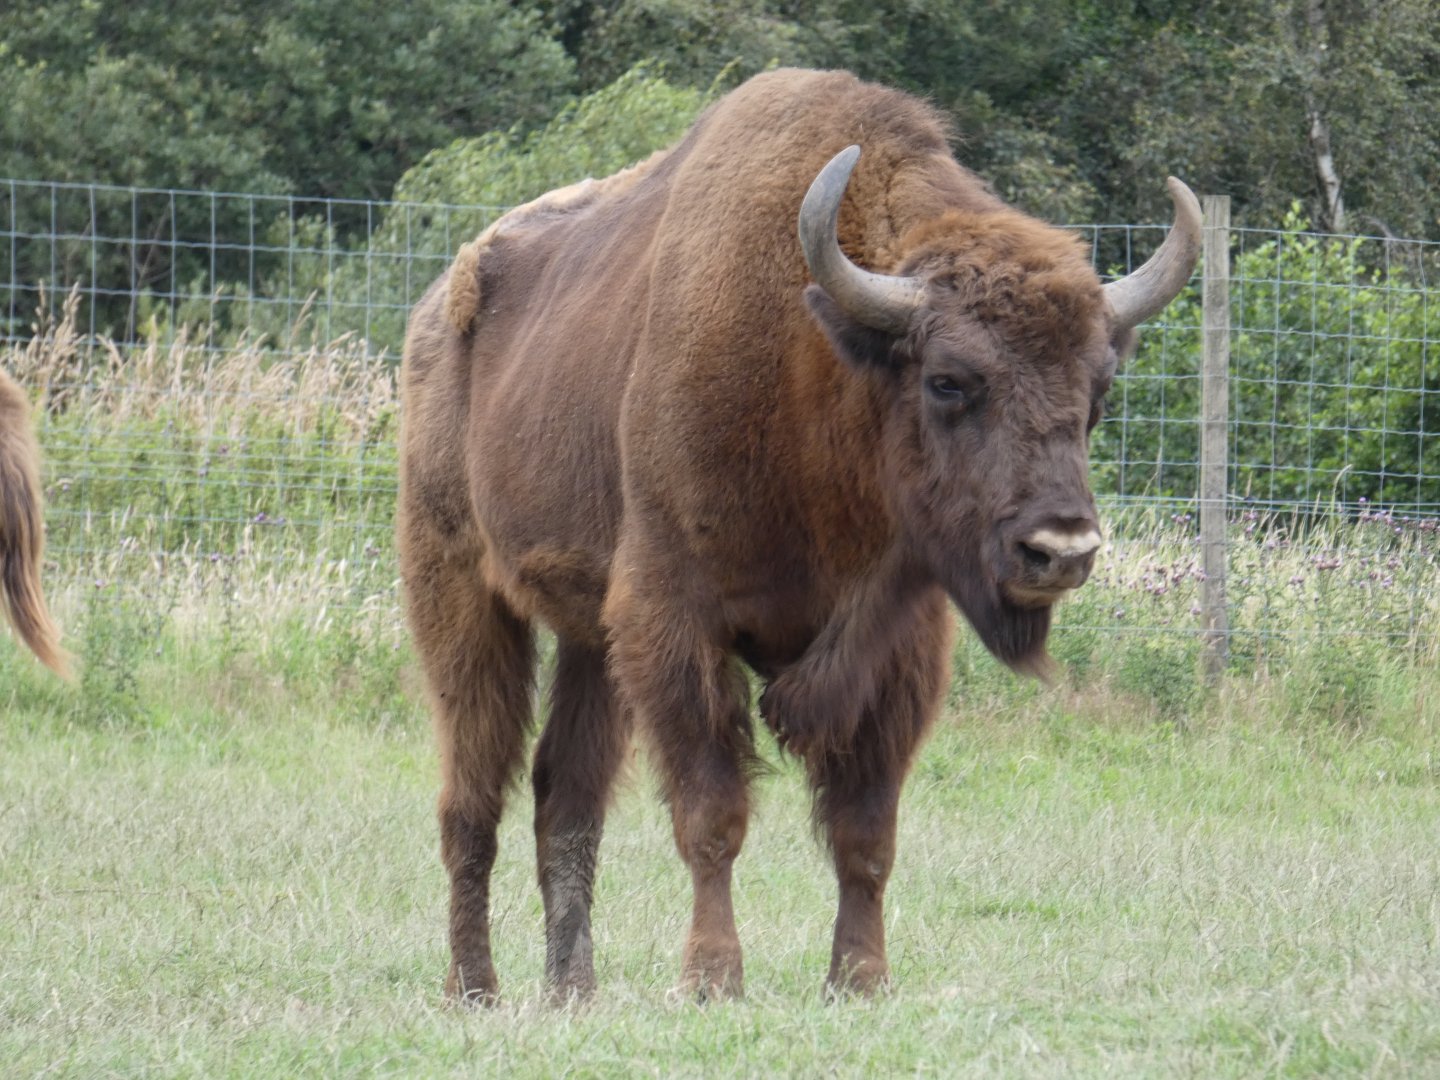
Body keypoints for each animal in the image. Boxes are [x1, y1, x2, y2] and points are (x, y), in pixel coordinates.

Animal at [398, 68, 1200, 1002]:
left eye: (1099, 387)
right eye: (948, 380)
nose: (1060, 551)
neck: (820, 368)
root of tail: (435, 313)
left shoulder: (896, 651)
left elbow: (866, 834)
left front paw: (860, 978)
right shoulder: (675, 622)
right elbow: (713, 816)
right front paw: (713, 977)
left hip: (588, 635)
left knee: (566, 797)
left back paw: (572, 990)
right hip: (457, 588)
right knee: (473, 795)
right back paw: (474, 987)